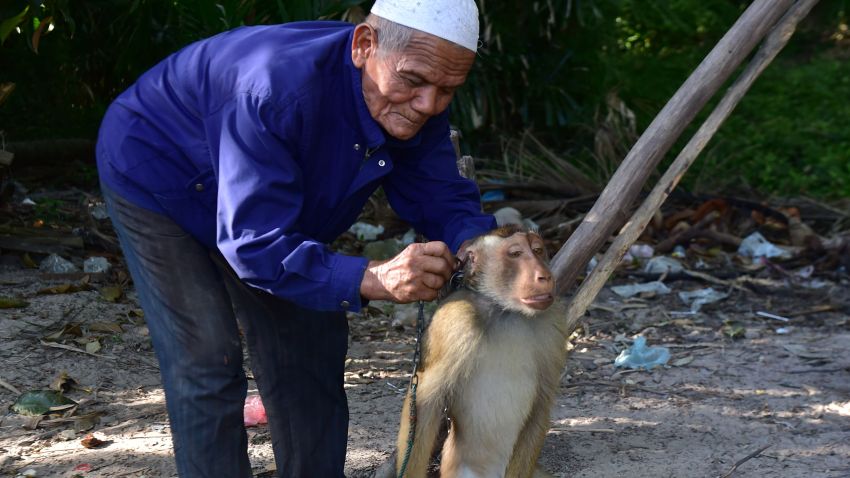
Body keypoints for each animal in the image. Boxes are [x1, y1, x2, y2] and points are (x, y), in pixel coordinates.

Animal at [380, 226, 568, 478]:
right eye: (516, 254)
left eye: (538, 250)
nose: (544, 275)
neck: (503, 309)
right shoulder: (456, 319)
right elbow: (425, 400)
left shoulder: (552, 322)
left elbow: (542, 401)